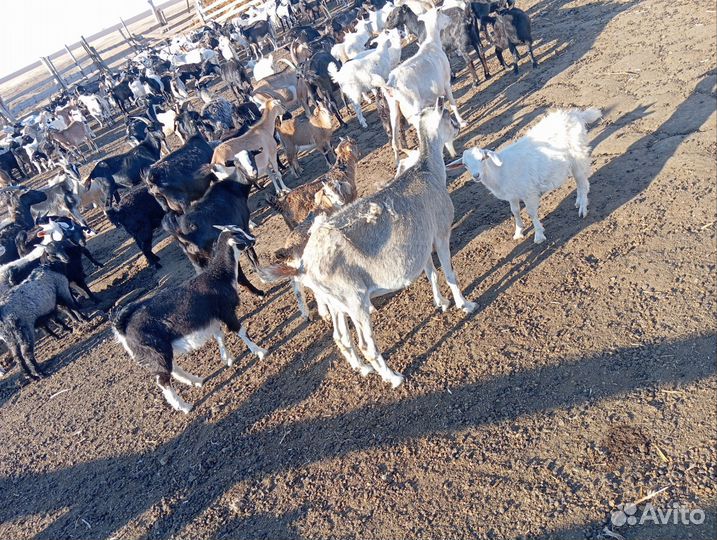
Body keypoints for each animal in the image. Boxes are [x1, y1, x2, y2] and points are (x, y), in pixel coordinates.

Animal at [111, 226, 266, 413]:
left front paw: (227, 359)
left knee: (172, 369)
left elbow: (219, 335)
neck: (218, 276)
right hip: (153, 350)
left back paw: (197, 381)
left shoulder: (212, 317)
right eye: (241, 236)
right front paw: (260, 352)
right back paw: (184, 406)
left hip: (159, 351)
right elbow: (240, 331)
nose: (254, 239)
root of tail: (123, 328)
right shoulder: (226, 312)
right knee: (162, 380)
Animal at [259, 99, 474, 387]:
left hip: (338, 303)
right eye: (449, 117)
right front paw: (465, 304)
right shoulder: (440, 232)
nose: (459, 126)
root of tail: (305, 265)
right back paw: (392, 377)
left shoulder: (421, 240)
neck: (428, 171)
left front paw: (441, 303)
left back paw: (362, 369)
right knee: (366, 344)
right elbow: (449, 273)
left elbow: (431, 272)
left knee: (341, 338)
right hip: (355, 299)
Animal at [447, 108, 601, 243]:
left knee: (583, 183)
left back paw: (583, 209)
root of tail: (576, 114)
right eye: (465, 165)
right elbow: (515, 211)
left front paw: (539, 235)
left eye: (482, 159)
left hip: (578, 154)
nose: (476, 175)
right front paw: (518, 232)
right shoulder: (512, 195)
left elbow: (531, 212)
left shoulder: (529, 191)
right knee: (580, 182)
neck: (500, 172)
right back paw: (579, 202)